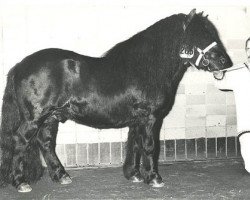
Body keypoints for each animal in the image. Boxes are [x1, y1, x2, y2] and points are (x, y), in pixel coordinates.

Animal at [0, 9, 232, 192]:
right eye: (199, 35)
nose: (225, 62)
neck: (146, 68)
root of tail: (20, 66)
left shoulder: (138, 120)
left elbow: (135, 144)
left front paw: (134, 174)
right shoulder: (150, 118)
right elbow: (149, 146)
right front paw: (154, 178)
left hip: (50, 117)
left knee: (46, 143)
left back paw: (61, 176)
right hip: (34, 118)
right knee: (20, 141)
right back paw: (20, 182)